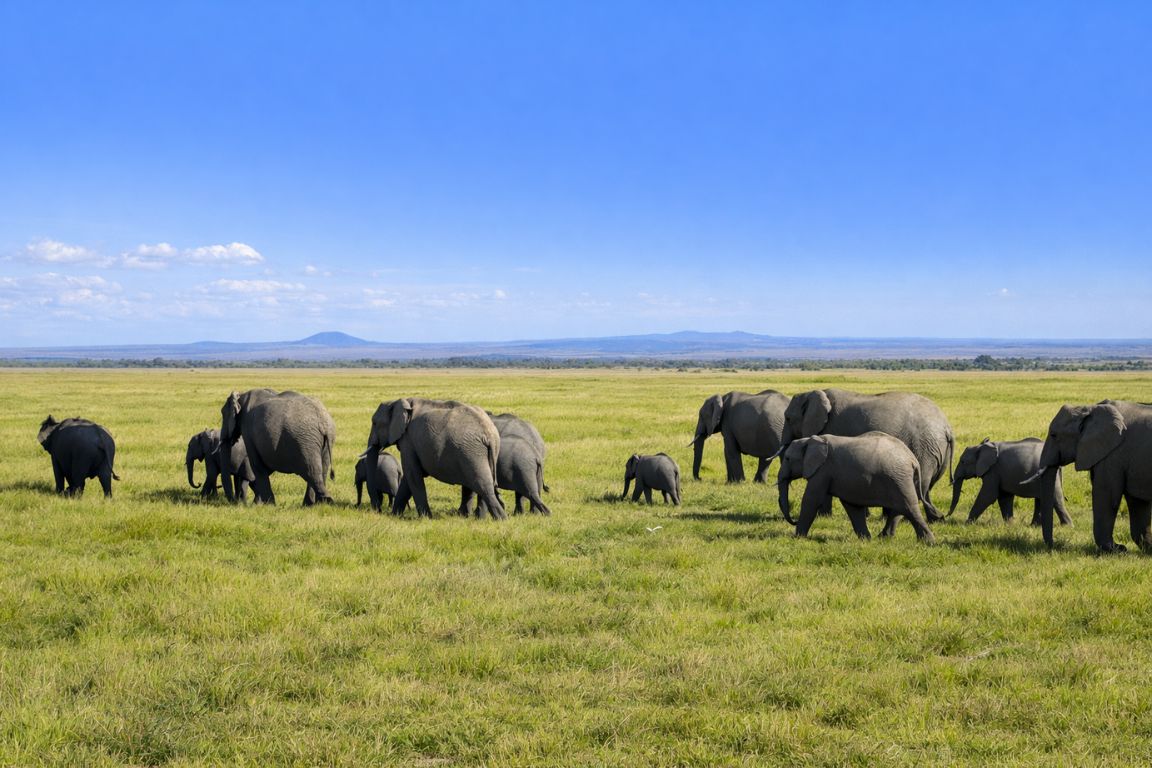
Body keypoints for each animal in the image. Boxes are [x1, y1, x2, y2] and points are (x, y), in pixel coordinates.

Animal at [367, 397, 505, 519]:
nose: (378, 510)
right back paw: (474, 518)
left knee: (482, 485)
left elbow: (413, 475)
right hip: (474, 452)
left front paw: (426, 518)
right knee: (475, 485)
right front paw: (395, 516)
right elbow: (408, 479)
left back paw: (501, 520)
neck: (397, 401)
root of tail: (490, 435)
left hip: (472, 452)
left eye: (374, 423)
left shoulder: (408, 440)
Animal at [777, 432, 935, 543]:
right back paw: (883, 538)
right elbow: (852, 507)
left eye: (787, 459)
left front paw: (797, 538)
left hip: (899, 478)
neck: (810, 440)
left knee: (909, 507)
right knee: (900, 508)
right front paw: (866, 539)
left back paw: (928, 542)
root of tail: (913, 459)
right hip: (900, 479)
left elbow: (811, 500)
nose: (793, 521)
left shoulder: (822, 470)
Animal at [780, 388, 954, 521]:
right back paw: (934, 519)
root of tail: (946, 427)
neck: (813, 393)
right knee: (927, 486)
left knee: (921, 485)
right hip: (937, 451)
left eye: (788, 418)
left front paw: (824, 517)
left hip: (925, 446)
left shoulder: (830, 429)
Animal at [1033, 400, 1152, 552]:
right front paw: (1139, 549)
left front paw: (1115, 550)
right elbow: (1137, 503)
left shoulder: (1112, 455)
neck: (1090, 409)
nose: (1054, 545)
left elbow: (1107, 497)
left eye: (1054, 435)